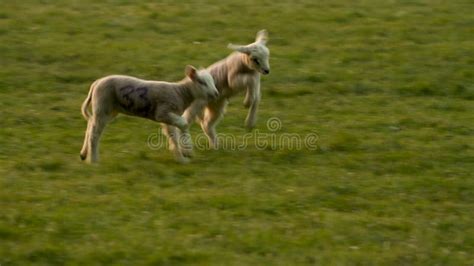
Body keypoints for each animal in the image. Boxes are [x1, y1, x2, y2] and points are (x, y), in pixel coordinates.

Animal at [79, 65, 218, 163]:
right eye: (201, 82)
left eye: (212, 81)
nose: (216, 93)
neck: (180, 92)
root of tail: (96, 83)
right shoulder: (162, 112)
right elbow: (183, 124)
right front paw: (187, 151)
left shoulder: (169, 117)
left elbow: (173, 136)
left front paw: (181, 157)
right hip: (103, 106)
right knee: (94, 133)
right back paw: (94, 160)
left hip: (109, 110)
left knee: (90, 125)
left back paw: (84, 154)